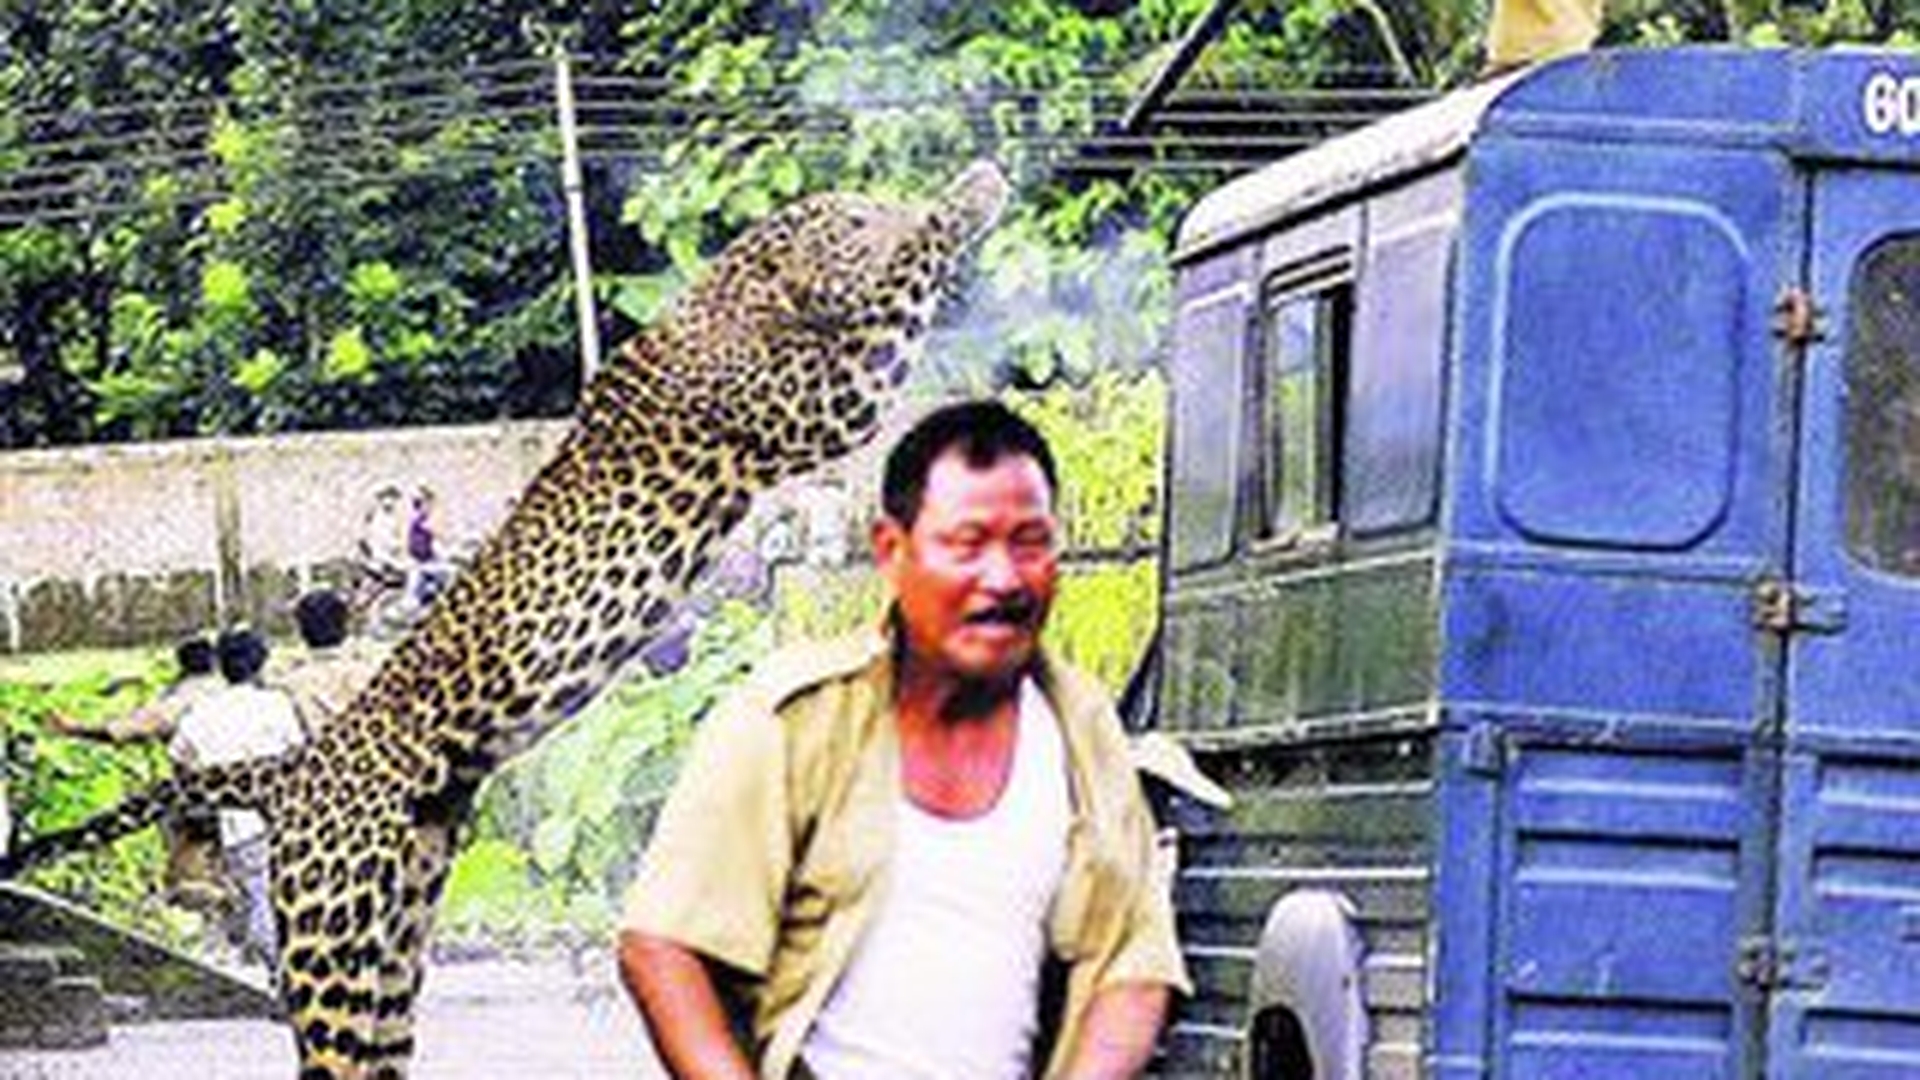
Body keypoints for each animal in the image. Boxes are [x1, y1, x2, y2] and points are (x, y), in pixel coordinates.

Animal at [2, 159, 1009, 1079]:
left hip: (391, 945)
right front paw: (971, 189)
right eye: (855, 217)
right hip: (333, 950)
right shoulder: (818, 400)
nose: (884, 201)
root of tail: (296, 767)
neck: (733, 299)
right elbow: (908, 277)